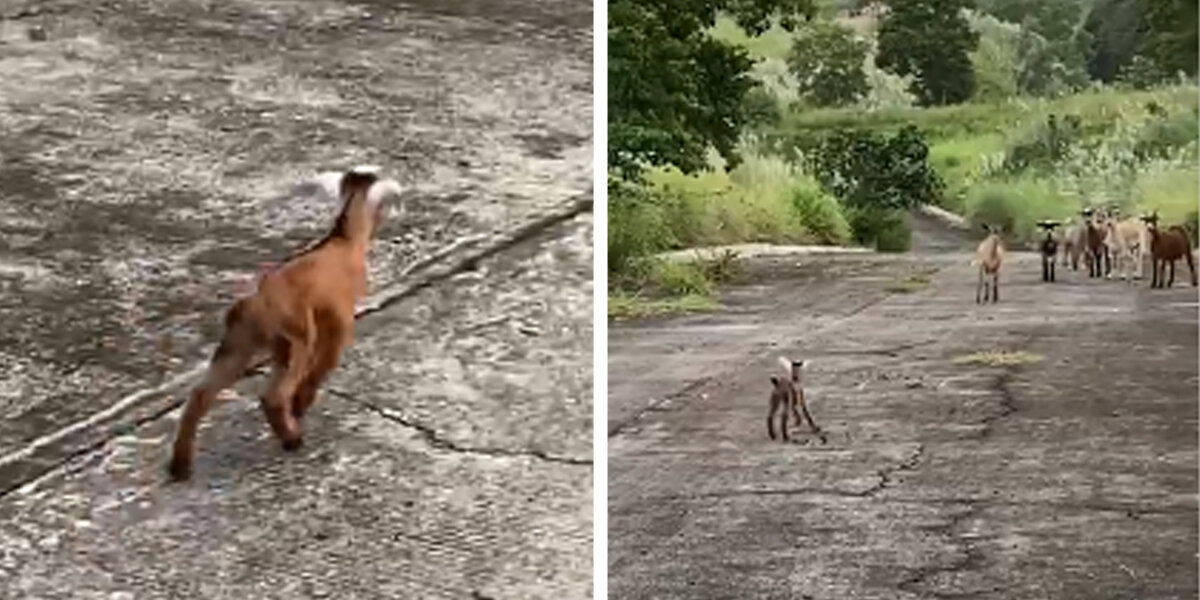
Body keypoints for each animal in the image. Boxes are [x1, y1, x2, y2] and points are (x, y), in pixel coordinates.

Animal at [168, 166, 402, 481]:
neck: (343, 237)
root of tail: (254, 302)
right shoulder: (338, 323)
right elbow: (322, 367)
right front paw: (301, 403)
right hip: (294, 339)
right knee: (273, 395)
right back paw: (292, 438)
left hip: (239, 345)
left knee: (200, 394)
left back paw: (180, 465)